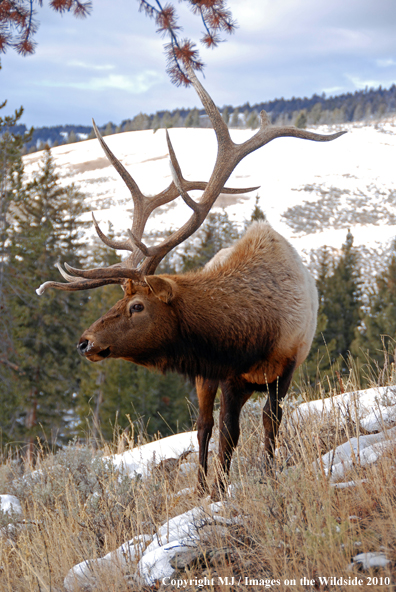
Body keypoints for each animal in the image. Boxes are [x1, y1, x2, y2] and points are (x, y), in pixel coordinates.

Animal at [38, 67, 346, 494]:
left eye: (137, 305)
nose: (86, 341)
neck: (254, 330)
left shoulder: (286, 366)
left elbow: (267, 424)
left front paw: (265, 475)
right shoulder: (221, 373)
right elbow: (224, 434)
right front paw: (214, 491)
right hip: (205, 378)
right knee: (203, 426)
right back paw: (200, 485)